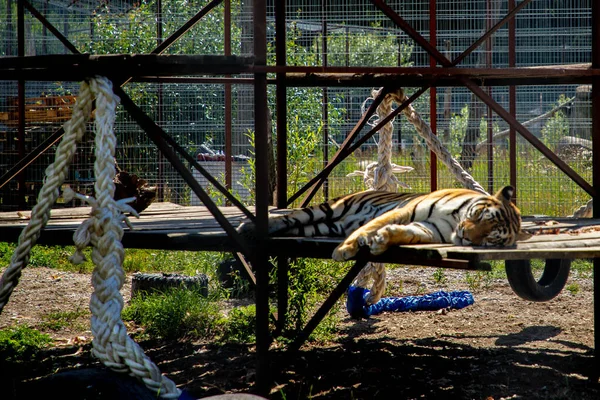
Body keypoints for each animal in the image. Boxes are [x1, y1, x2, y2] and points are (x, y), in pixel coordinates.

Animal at [237, 186, 532, 260]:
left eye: (491, 238)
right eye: (480, 216)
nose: (467, 238)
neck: (455, 220)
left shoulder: (429, 228)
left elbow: (407, 233)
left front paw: (382, 240)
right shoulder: (408, 209)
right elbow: (369, 226)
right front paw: (344, 250)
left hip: (326, 226)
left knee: (299, 226)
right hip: (330, 209)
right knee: (290, 217)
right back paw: (249, 227)